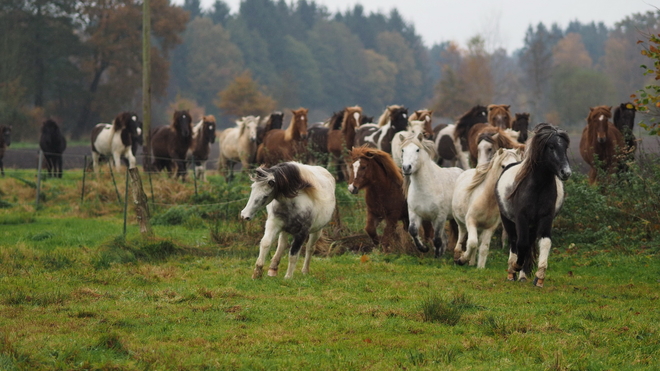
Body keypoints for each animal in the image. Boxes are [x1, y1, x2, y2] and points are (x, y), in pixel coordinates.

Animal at [496, 123, 572, 290]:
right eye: (551, 147)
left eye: (565, 147)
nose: (566, 172)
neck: (537, 187)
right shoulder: (521, 217)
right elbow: (521, 243)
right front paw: (516, 266)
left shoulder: (546, 218)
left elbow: (544, 242)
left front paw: (539, 278)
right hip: (507, 219)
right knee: (514, 241)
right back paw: (511, 273)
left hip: (531, 225)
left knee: (529, 244)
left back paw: (523, 276)